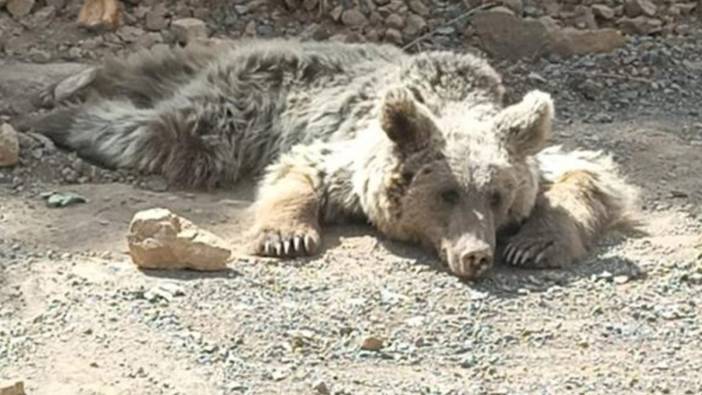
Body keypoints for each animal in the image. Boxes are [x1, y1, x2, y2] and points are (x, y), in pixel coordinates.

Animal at [33, 38, 640, 280]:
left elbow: (590, 172)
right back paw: (64, 112)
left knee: (155, 76)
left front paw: (536, 244)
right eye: (446, 193)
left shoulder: (533, 151)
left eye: (496, 196)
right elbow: (298, 170)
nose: (477, 255)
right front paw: (287, 235)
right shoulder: (347, 152)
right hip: (237, 104)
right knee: (168, 132)